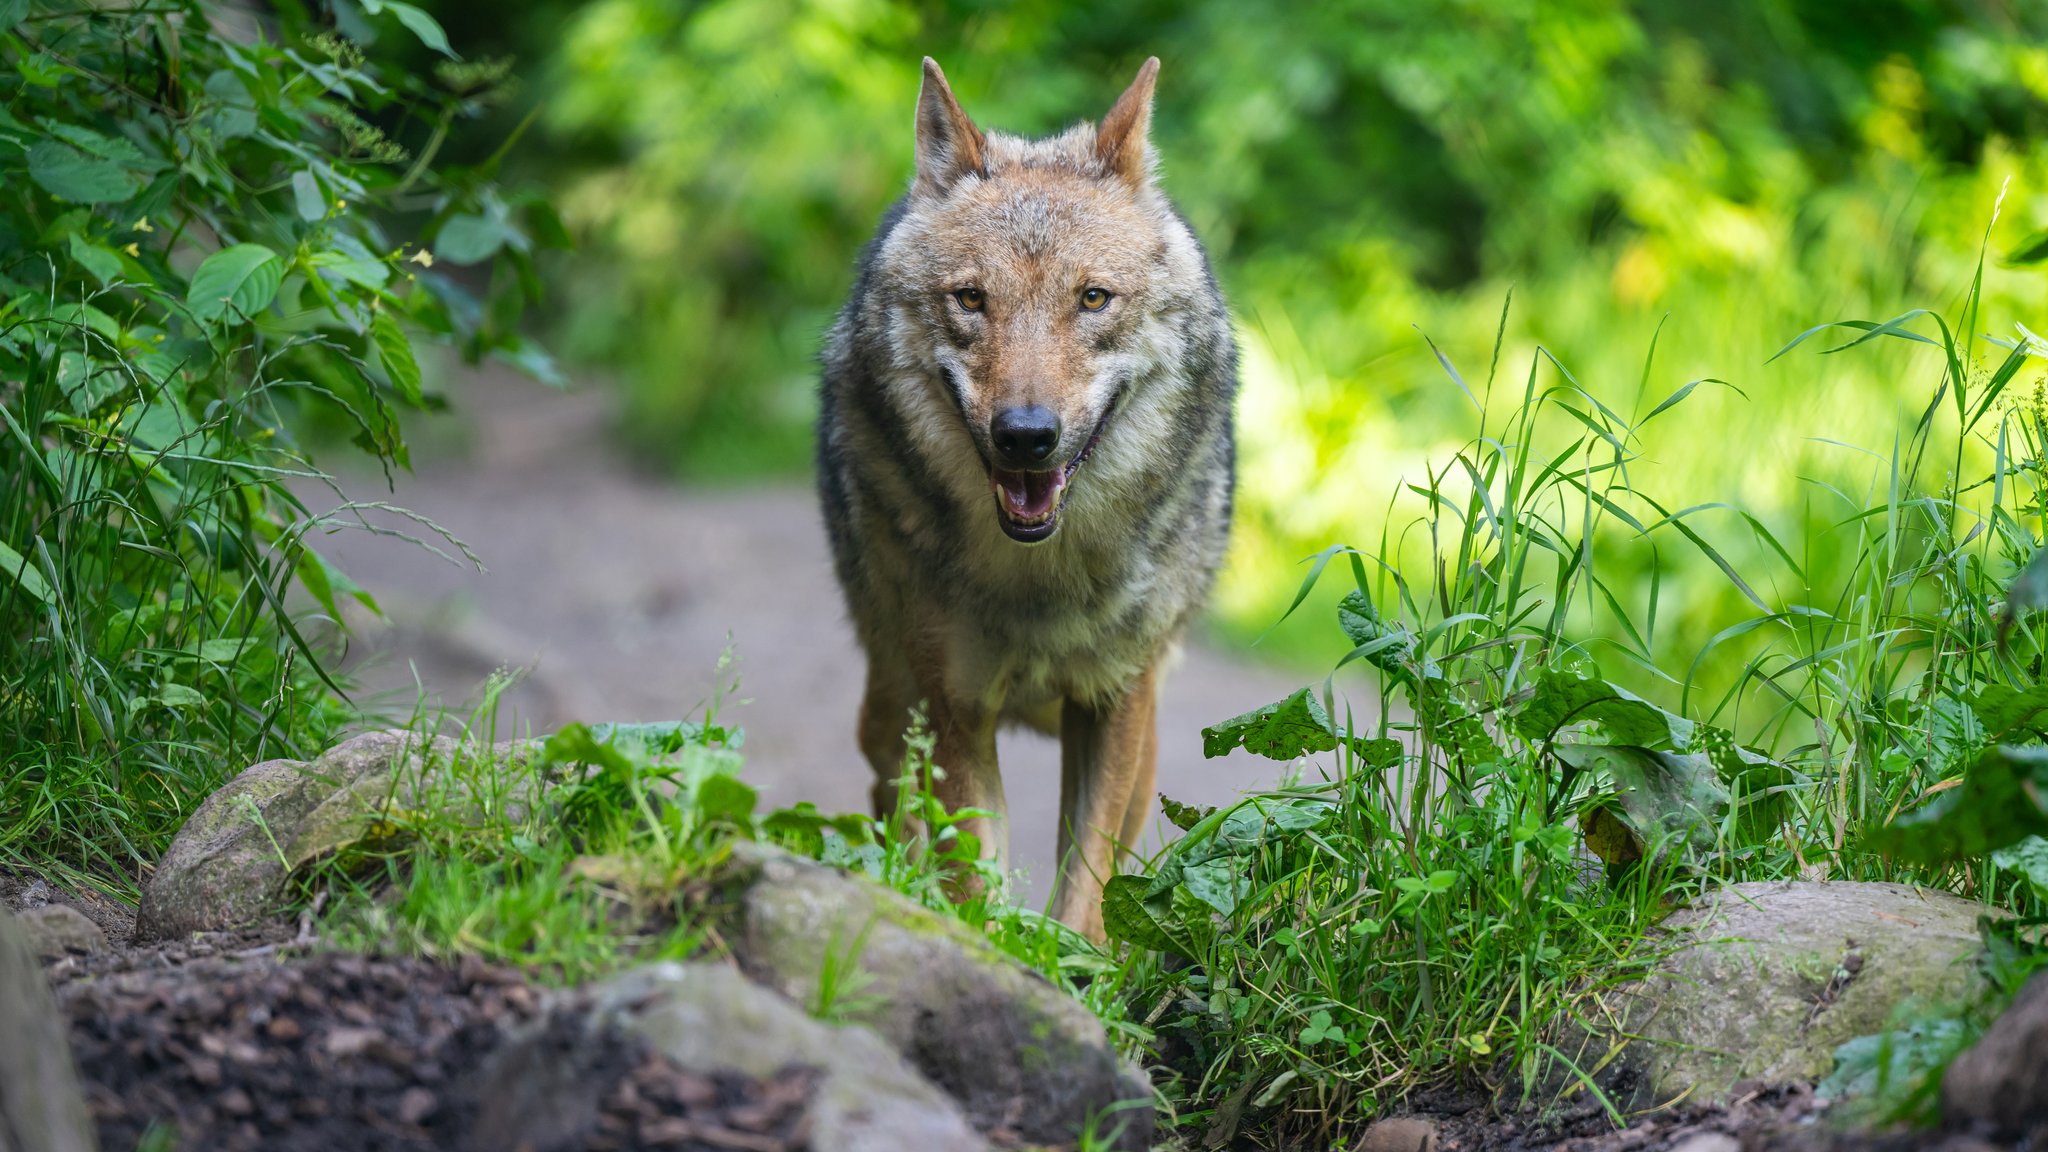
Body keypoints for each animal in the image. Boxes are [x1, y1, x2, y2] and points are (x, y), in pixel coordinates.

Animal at [811, 56, 1228, 934]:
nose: (1026, 436)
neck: (1041, 583)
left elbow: (1086, 891)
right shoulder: (954, 706)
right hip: (893, 708)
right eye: (972, 299)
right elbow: (977, 881)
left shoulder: (1114, 701)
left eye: (1093, 298)